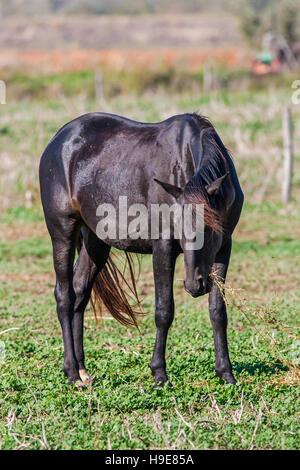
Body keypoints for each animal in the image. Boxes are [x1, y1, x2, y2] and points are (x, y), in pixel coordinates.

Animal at [39, 111, 244, 390]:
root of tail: (58, 141)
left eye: (210, 228)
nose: (195, 285)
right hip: (62, 233)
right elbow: (164, 310)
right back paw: (71, 373)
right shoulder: (163, 247)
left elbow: (218, 311)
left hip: (95, 241)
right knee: (64, 296)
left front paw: (226, 373)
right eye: (177, 225)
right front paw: (159, 374)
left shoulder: (224, 248)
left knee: (80, 293)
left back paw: (82, 370)